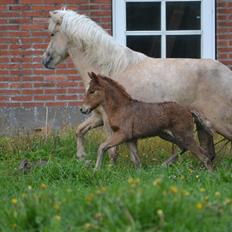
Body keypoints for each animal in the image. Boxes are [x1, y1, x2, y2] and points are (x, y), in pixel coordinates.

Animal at [80, 72, 213, 170]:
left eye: (92, 91)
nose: (82, 109)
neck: (120, 108)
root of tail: (189, 111)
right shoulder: (130, 139)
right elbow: (136, 160)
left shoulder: (122, 134)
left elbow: (102, 147)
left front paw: (96, 170)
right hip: (165, 134)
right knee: (184, 147)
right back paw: (163, 165)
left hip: (184, 134)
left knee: (203, 156)